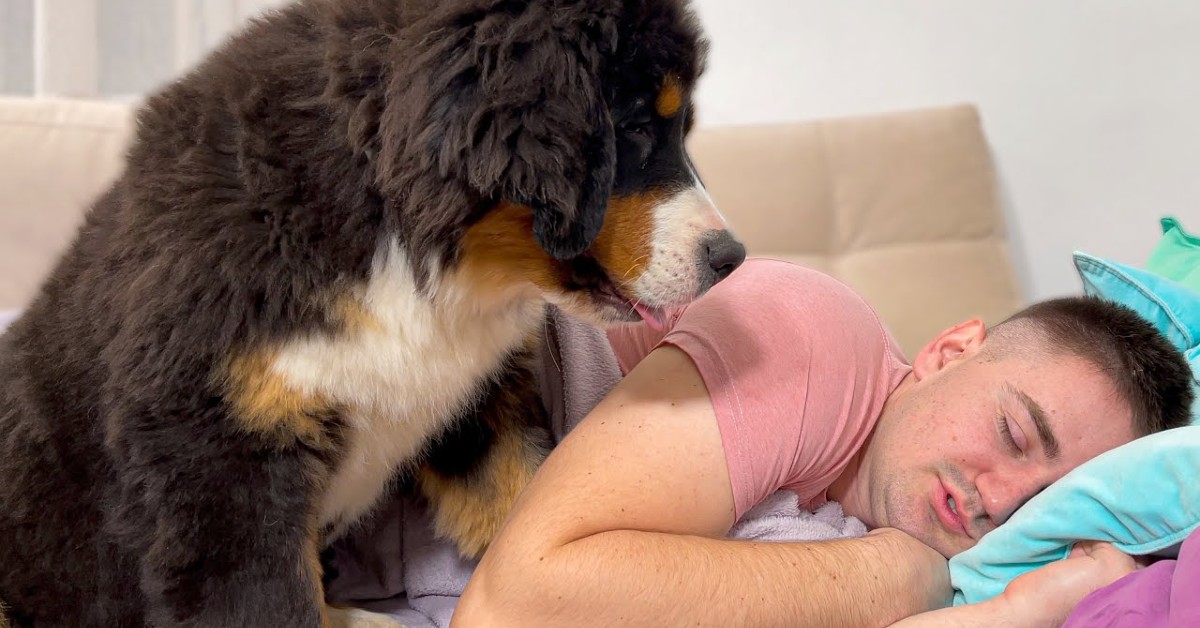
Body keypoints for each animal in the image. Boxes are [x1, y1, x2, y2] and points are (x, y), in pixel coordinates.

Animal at [0, 0, 744, 624]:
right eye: (637, 127)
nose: (731, 257)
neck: (402, 242)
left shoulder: (480, 410)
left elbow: (519, 511)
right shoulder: (219, 461)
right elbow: (272, 606)